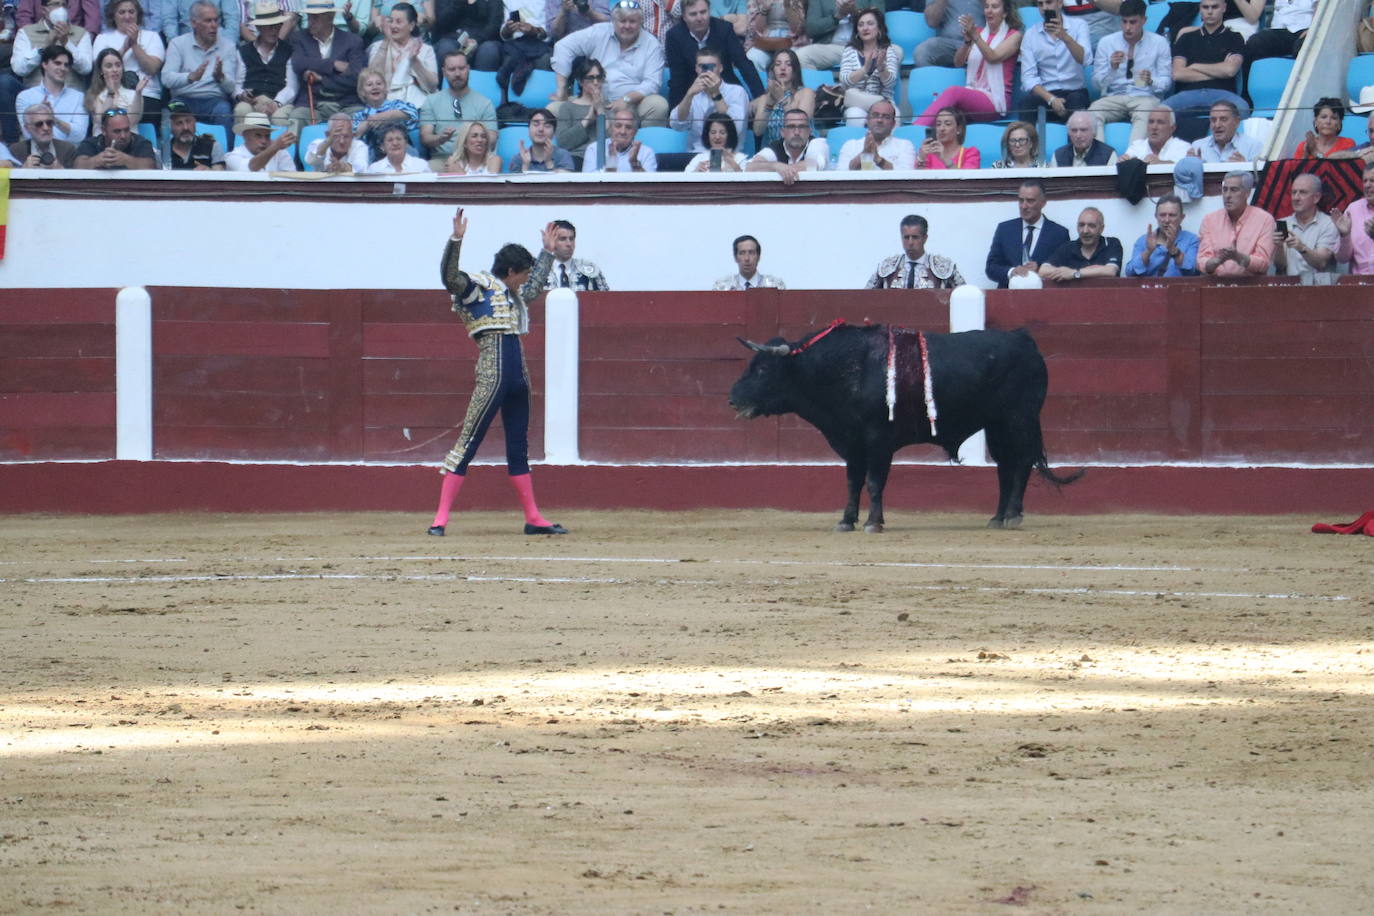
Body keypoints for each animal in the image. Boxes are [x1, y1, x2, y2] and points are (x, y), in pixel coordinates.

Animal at [730, 325, 1082, 532]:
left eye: (762, 369)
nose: (733, 399)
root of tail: (1024, 339)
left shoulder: (878, 441)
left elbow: (874, 482)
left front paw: (873, 523)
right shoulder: (852, 442)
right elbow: (852, 482)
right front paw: (846, 520)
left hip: (1018, 419)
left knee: (1021, 464)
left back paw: (1012, 515)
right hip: (996, 426)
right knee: (1005, 468)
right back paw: (996, 518)